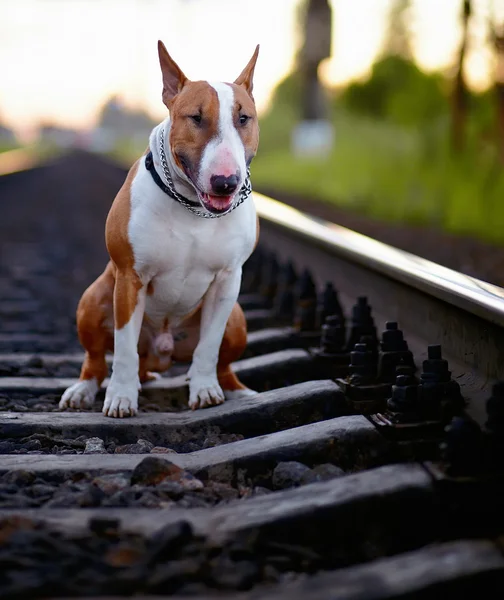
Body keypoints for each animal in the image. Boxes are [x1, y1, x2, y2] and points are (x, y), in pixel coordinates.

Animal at [60, 42, 260, 418]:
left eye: (244, 118)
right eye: (195, 118)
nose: (226, 182)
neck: (193, 207)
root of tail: (161, 356)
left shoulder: (228, 280)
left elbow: (209, 348)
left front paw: (205, 390)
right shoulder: (130, 277)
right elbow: (123, 348)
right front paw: (121, 397)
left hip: (237, 318)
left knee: (223, 363)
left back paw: (235, 390)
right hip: (92, 300)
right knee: (98, 359)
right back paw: (83, 390)